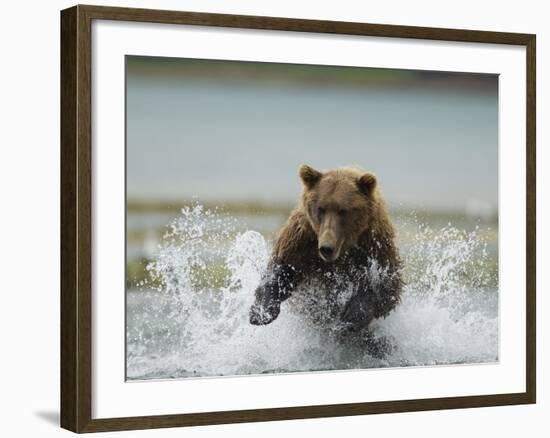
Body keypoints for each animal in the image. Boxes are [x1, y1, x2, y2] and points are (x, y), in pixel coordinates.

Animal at [252, 163, 404, 332]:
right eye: (321, 208)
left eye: (343, 210)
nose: (326, 248)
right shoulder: (303, 240)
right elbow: (283, 269)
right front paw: (260, 312)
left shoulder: (374, 245)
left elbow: (386, 288)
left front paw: (352, 316)